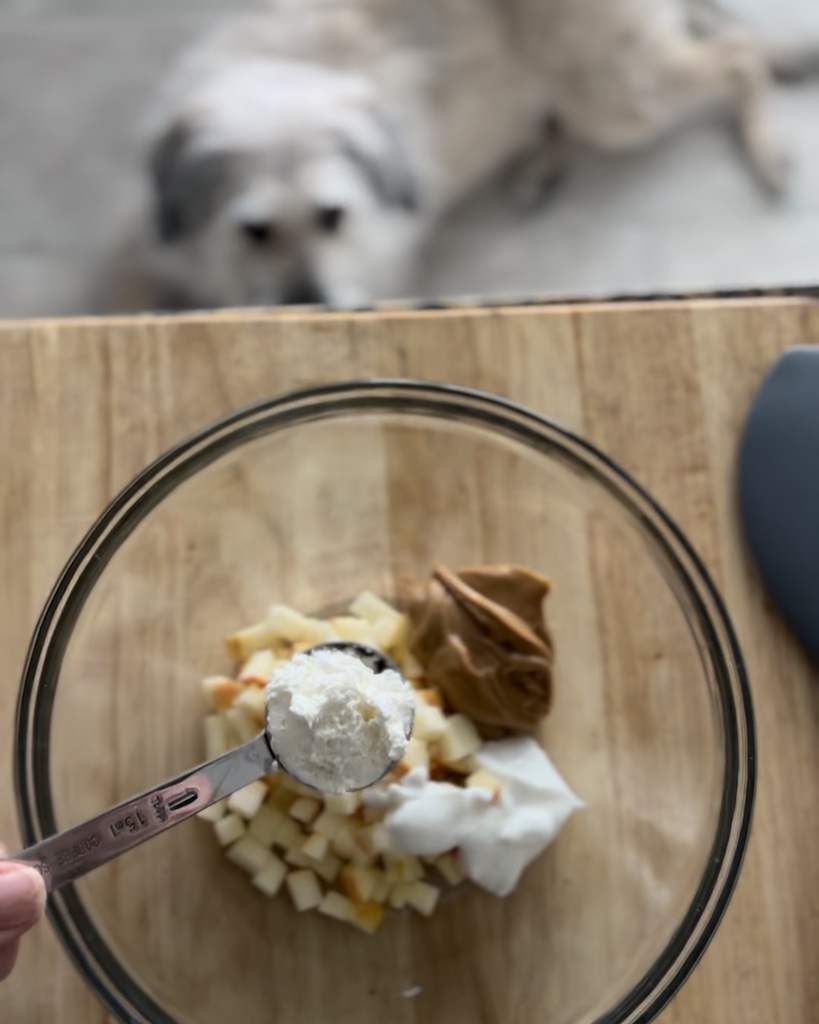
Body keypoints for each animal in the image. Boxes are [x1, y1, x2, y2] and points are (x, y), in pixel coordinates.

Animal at [142, 0, 818, 309]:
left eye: (333, 217)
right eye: (254, 228)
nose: (309, 304)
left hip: (616, 94)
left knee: (736, 54)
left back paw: (768, 144)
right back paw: (540, 164)